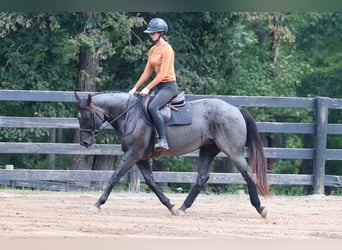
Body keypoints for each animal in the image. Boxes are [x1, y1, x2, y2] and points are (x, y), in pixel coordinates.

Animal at [75, 91, 270, 217]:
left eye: (86, 117)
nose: (85, 142)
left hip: (233, 152)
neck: (130, 115)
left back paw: (260, 208)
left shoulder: (133, 154)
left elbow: (114, 177)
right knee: (201, 178)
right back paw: (183, 208)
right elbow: (151, 182)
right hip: (208, 149)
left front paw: (97, 204)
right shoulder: (140, 158)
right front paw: (170, 206)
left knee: (248, 174)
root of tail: (236, 110)